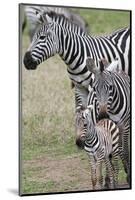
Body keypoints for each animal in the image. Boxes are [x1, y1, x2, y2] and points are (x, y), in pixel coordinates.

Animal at [85, 57, 131, 186]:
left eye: (110, 87)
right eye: (94, 88)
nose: (102, 115)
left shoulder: (125, 126)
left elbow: (125, 150)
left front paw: (128, 176)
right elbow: (108, 153)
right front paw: (108, 178)